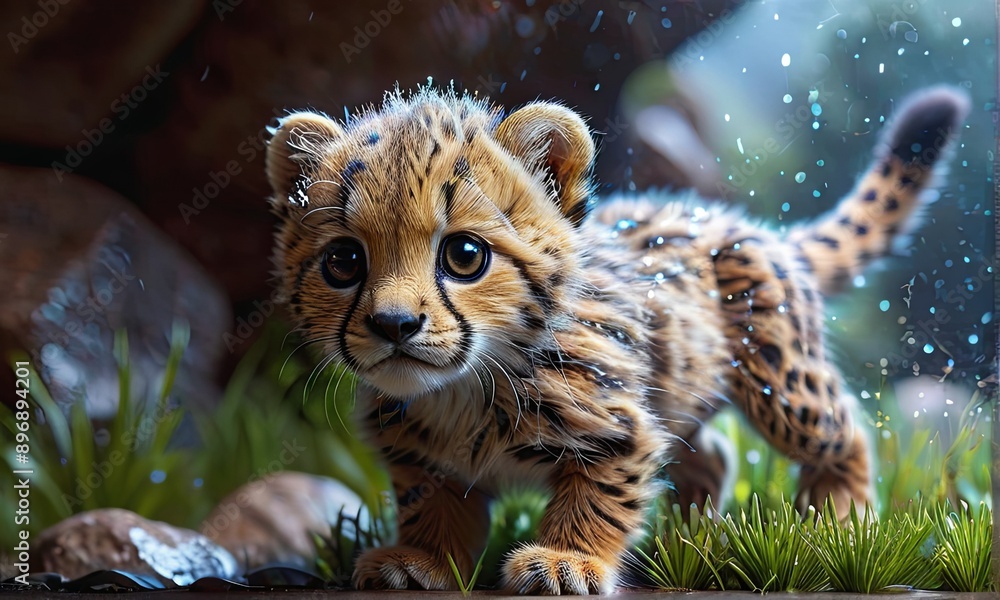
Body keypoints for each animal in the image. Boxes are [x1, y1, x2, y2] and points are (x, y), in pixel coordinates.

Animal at [263, 85, 968, 594]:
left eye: (464, 255)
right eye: (344, 262)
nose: (393, 325)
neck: (465, 385)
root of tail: (744, 224)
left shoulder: (619, 427)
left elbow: (599, 498)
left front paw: (564, 561)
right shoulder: (420, 459)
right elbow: (432, 505)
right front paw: (420, 558)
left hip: (782, 386)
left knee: (842, 430)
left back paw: (839, 522)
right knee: (714, 453)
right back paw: (689, 539)